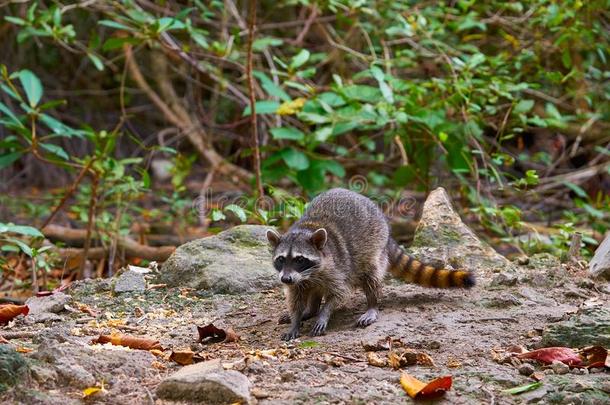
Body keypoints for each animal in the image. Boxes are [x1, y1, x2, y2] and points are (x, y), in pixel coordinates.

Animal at [266, 188, 476, 340]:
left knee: (371, 277)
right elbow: (295, 299)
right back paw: (311, 310)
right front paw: (297, 319)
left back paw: (372, 305)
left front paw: (324, 313)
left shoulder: (337, 268)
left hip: (373, 249)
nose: (285, 279)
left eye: (300, 259)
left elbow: (339, 293)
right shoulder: (298, 280)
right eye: (281, 259)